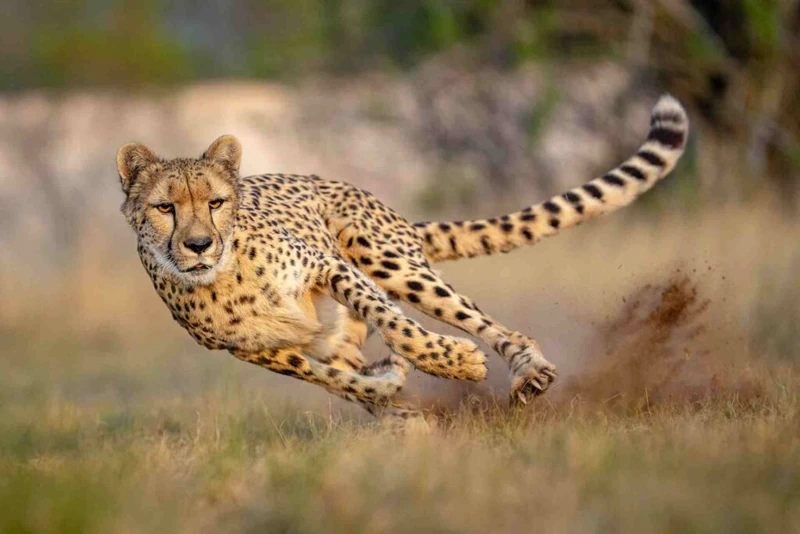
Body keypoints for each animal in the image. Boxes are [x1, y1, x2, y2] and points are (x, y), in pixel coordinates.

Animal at [116, 95, 688, 427]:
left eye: (215, 202)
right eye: (165, 208)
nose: (198, 245)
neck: (226, 275)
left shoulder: (331, 268)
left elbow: (398, 325)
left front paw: (452, 362)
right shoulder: (259, 352)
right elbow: (337, 380)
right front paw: (392, 393)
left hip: (386, 257)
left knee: (483, 323)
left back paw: (527, 370)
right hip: (338, 326)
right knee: (348, 363)